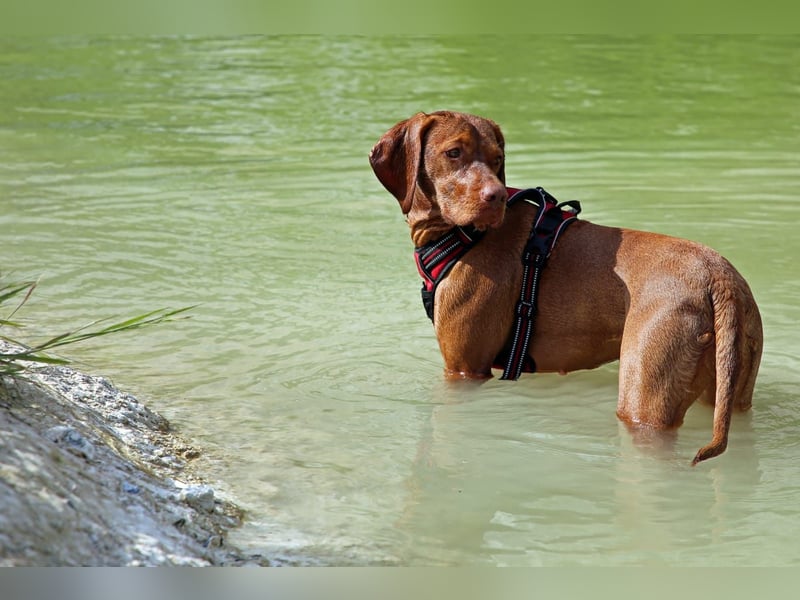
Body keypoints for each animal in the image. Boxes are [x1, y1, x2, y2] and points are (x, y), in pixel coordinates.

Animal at [372, 110, 764, 466]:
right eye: (454, 153)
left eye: (497, 159)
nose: (495, 196)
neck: (463, 237)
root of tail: (719, 279)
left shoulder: (465, 369)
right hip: (731, 394)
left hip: (645, 399)